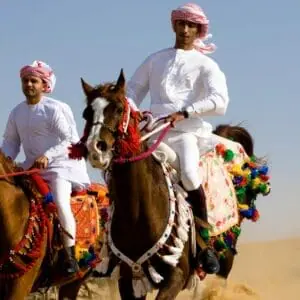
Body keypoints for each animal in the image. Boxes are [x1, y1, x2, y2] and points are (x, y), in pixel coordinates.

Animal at [71, 69, 272, 298]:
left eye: (119, 108)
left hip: (226, 255)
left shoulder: (176, 277)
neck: (138, 213)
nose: (96, 148)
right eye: (86, 113)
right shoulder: (129, 280)